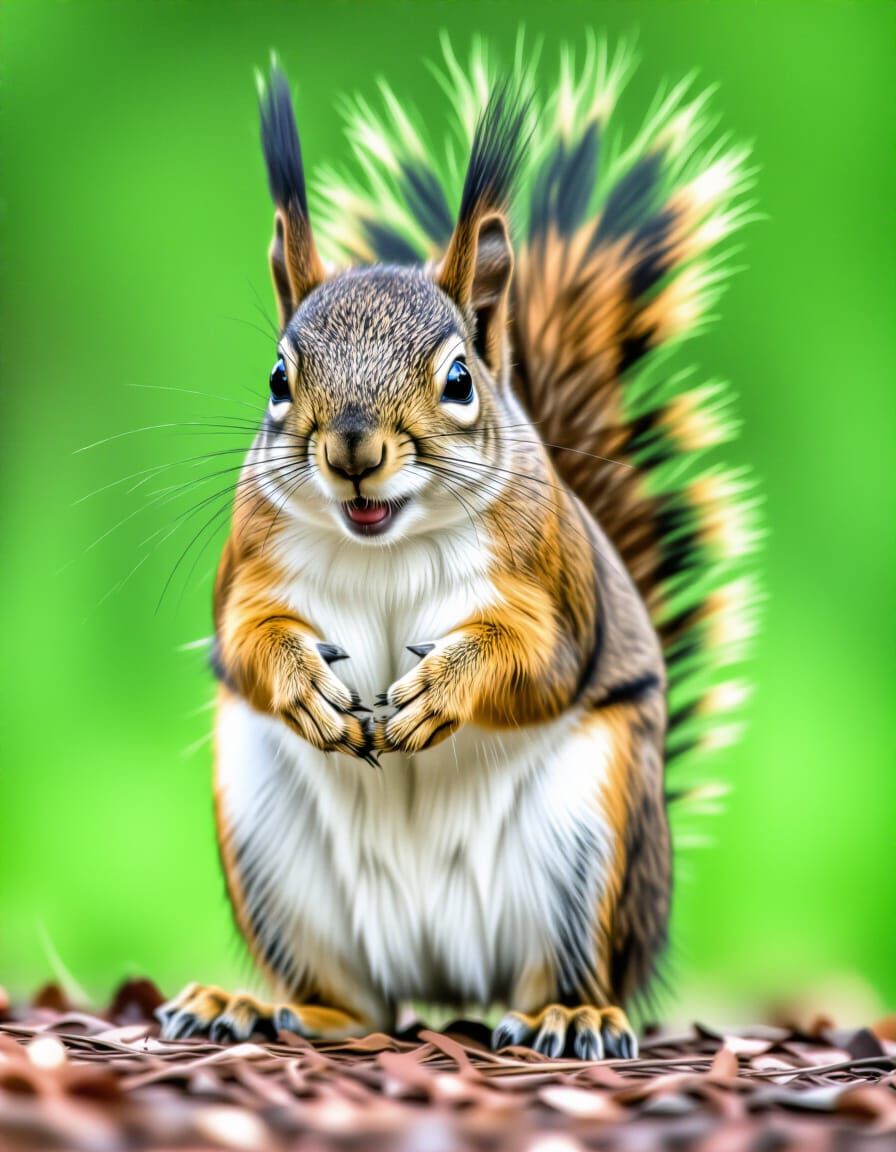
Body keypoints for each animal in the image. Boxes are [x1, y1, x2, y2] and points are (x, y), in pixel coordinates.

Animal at [157, 40, 759, 1059]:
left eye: (458, 380)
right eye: (278, 377)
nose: (352, 448)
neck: (385, 539)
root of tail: (442, 979)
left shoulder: (556, 583)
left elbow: (539, 660)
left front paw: (441, 691)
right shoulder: (248, 564)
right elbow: (243, 638)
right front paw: (302, 683)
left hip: (594, 839)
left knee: (562, 975)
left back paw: (570, 1016)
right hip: (270, 852)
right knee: (354, 1002)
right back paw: (256, 1007)